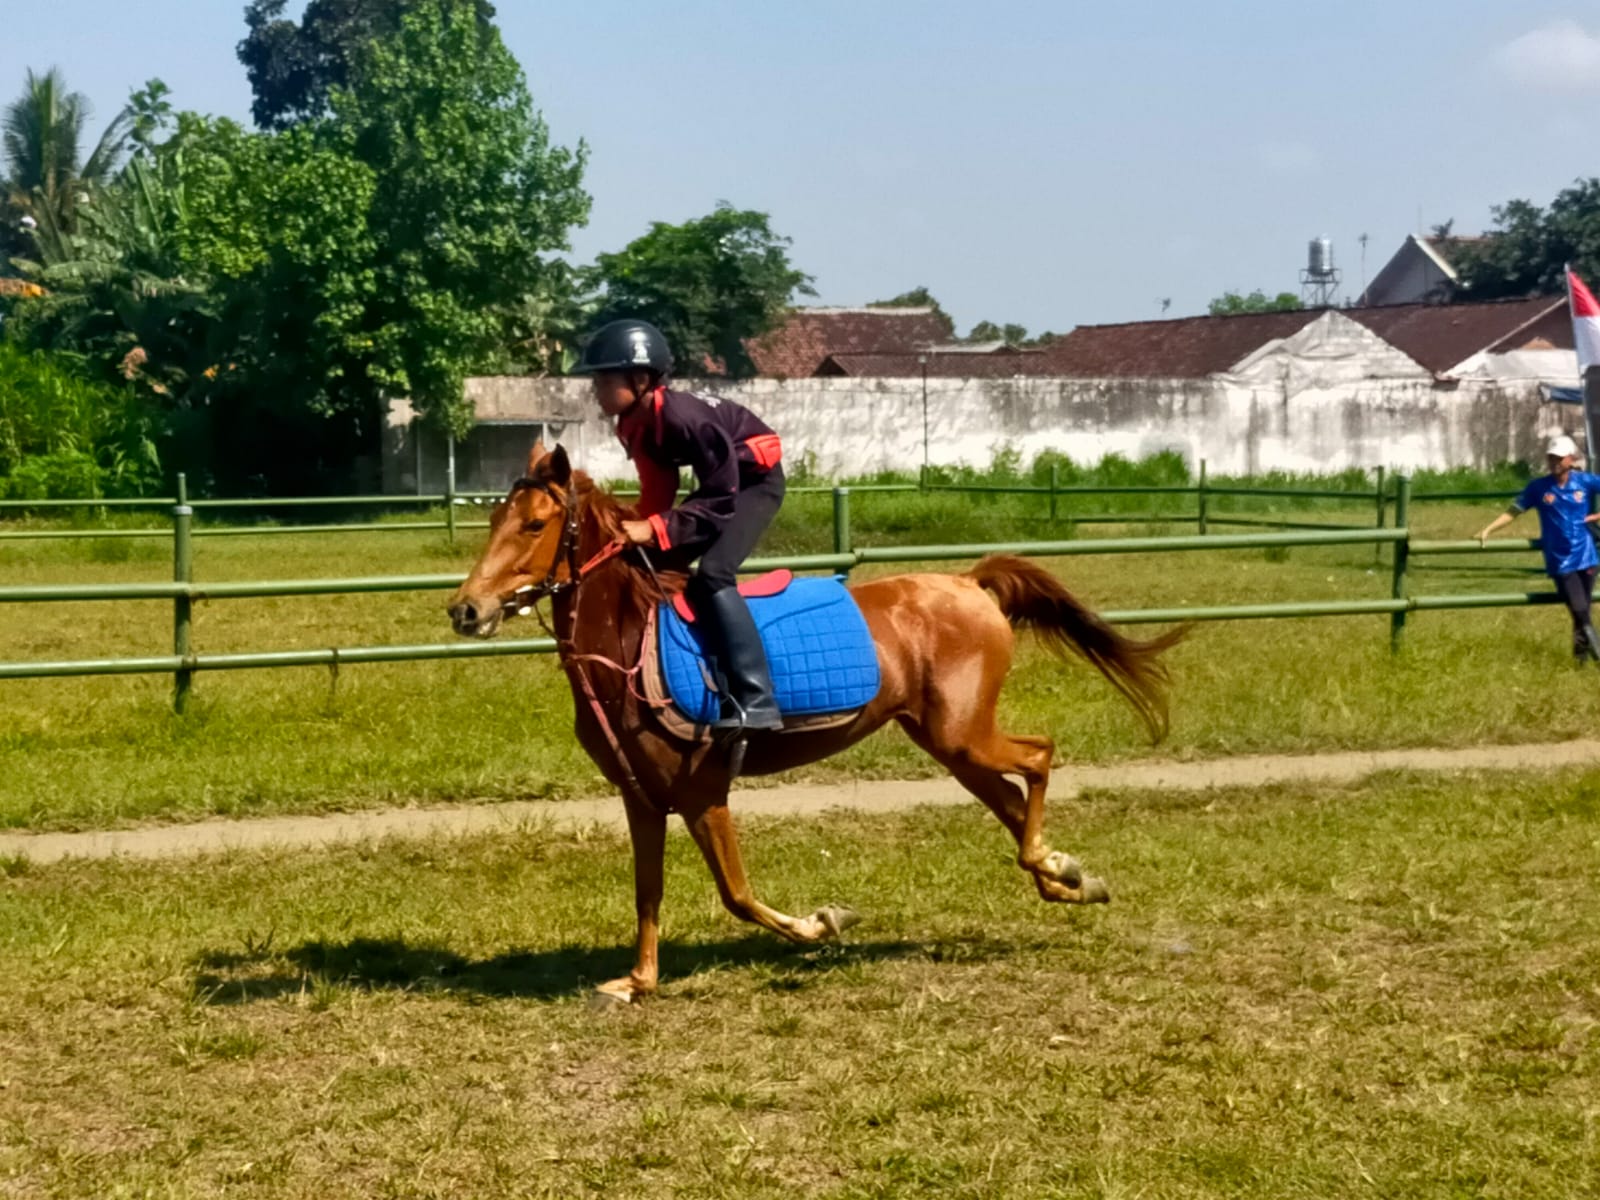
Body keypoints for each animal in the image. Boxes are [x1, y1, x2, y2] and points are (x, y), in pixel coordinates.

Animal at [444, 448, 1184, 1011]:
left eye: (535, 524)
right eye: (495, 520)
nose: (465, 609)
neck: (630, 642)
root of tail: (969, 583)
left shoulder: (703, 794)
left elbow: (738, 895)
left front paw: (822, 922)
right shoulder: (643, 799)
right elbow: (647, 891)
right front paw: (638, 981)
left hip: (963, 735)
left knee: (1039, 756)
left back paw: (1053, 866)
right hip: (950, 745)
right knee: (1010, 794)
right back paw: (1065, 876)